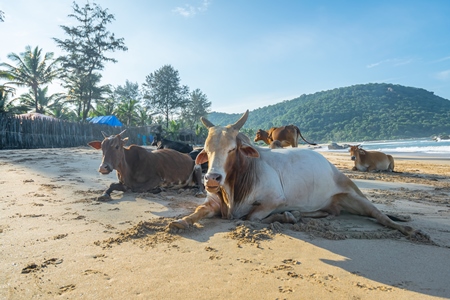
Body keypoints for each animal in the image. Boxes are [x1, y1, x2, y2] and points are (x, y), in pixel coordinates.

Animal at [170, 110, 426, 239]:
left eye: (232, 149)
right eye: (206, 150)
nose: (212, 179)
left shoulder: (274, 200)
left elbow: (251, 218)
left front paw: (283, 217)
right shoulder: (213, 202)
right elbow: (197, 212)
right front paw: (180, 222)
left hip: (355, 195)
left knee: (380, 216)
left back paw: (411, 230)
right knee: (328, 212)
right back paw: (301, 214)